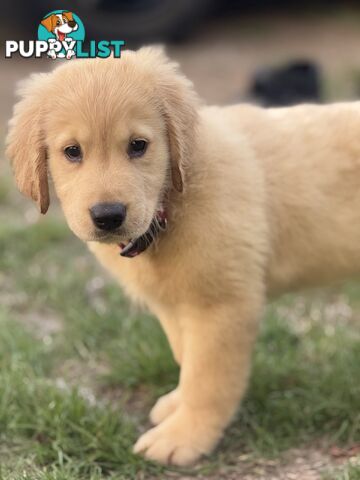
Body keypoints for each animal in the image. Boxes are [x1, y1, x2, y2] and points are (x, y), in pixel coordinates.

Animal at [6, 47, 360, 464]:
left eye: (138, 145)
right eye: (72, 152)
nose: (108, 216)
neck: (170, 204)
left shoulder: (221, 306)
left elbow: (206, 377)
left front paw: (184, 435)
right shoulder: (174, 304)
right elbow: (184, 355)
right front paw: (176, 405)